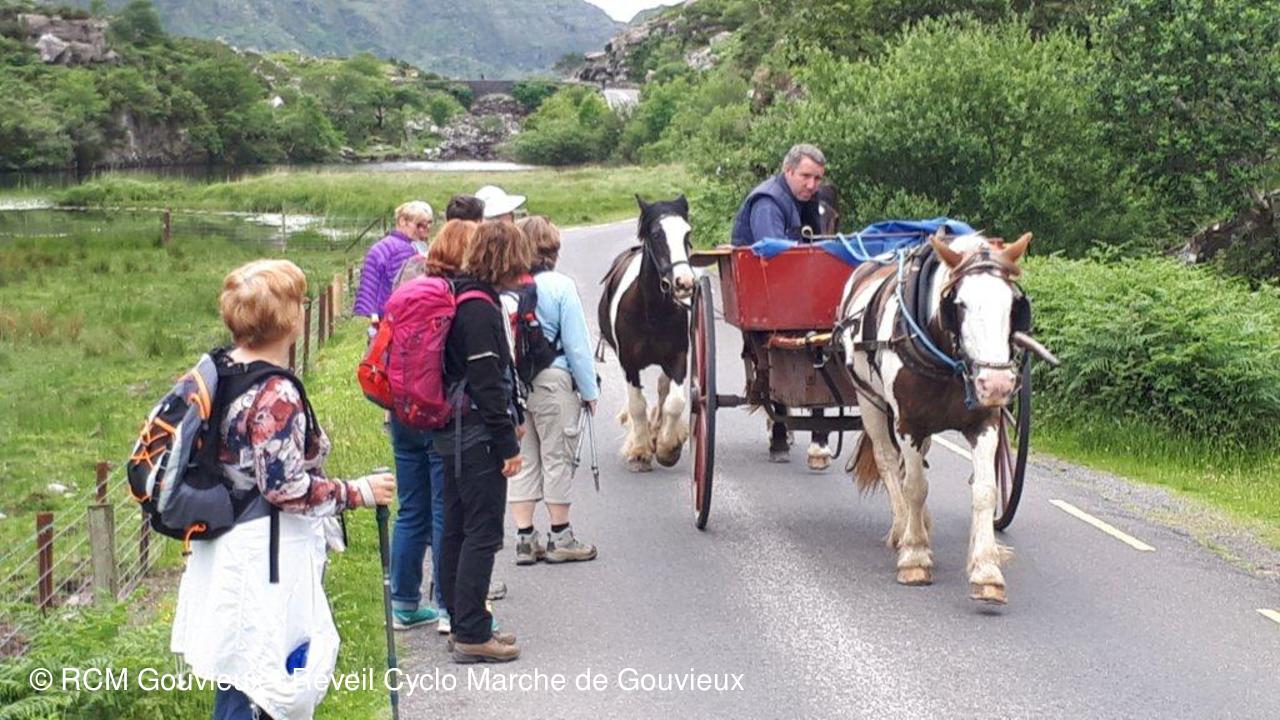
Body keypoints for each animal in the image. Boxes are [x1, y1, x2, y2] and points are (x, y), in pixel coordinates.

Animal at [598, 195, 696, 472]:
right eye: (656, 235)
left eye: (687, 233)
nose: (684, 283)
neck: (652, 313)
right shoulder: (629, 363)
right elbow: (637, 405)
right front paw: (641, 450)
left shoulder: (678, 357)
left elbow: (675, 402)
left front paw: (667, 447)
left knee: (663, 390)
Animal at [836, 229, 1048, 605]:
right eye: (959, 305)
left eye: (1014, 306)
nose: (997, 383)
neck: (947, 358)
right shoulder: (909, 423)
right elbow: (915, 486)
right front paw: (914, 554)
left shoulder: (985, 422)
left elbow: (985, 489)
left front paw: (987, 568)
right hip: (869, 400)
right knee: (889, 462)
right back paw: (902, 528)